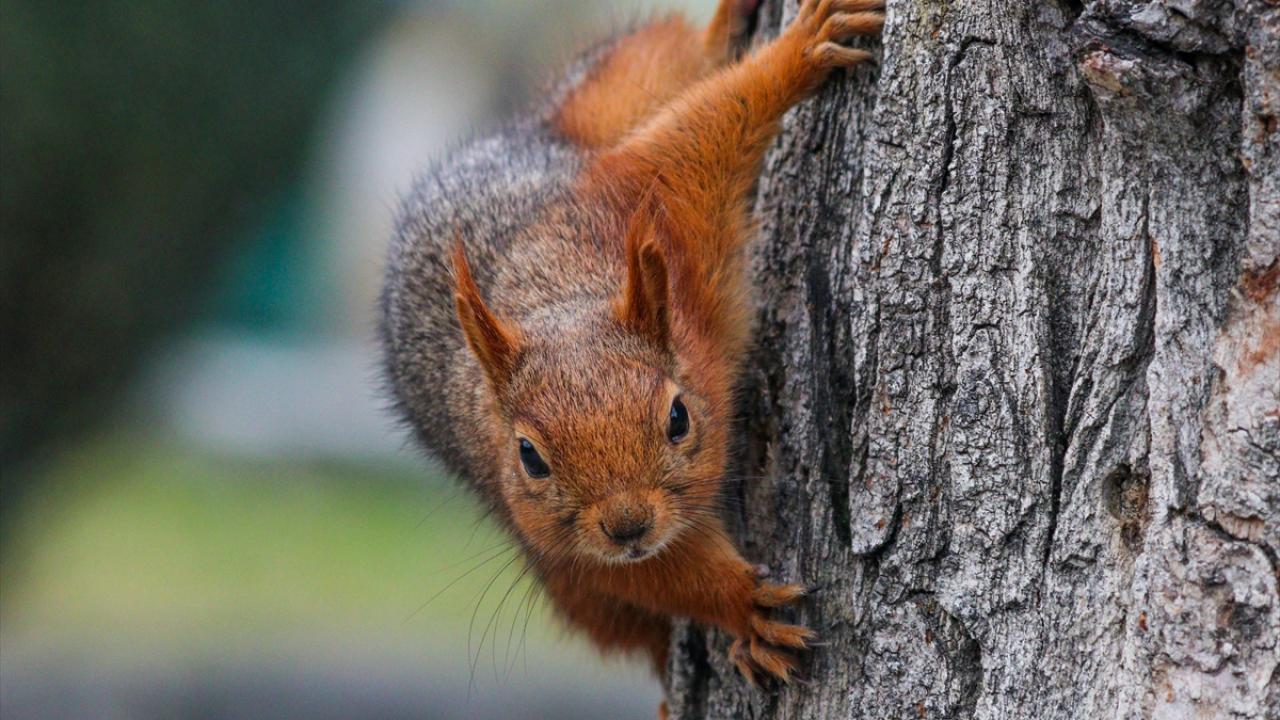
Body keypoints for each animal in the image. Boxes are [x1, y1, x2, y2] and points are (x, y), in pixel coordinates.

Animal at [380, 0, 884, 694]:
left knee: (686, 63)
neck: (559, 297)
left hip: (621, 87)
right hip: (562, 583)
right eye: (529, 458)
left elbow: (712, 123)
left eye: (678, 418)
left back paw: (726, 27)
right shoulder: (559, 543)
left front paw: (798, 52)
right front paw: (740, 604)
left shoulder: (652, 200)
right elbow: (652, 575)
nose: (627, 526)